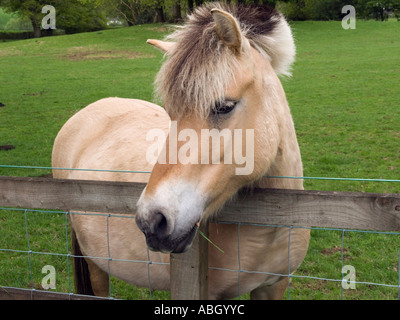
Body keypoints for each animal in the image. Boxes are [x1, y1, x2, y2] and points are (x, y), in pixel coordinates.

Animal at [52, 3, 310, 300]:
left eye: (223, 107)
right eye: (169, 112)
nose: (151, 221)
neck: (268, 229)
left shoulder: (273, 285)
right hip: (95, 264)